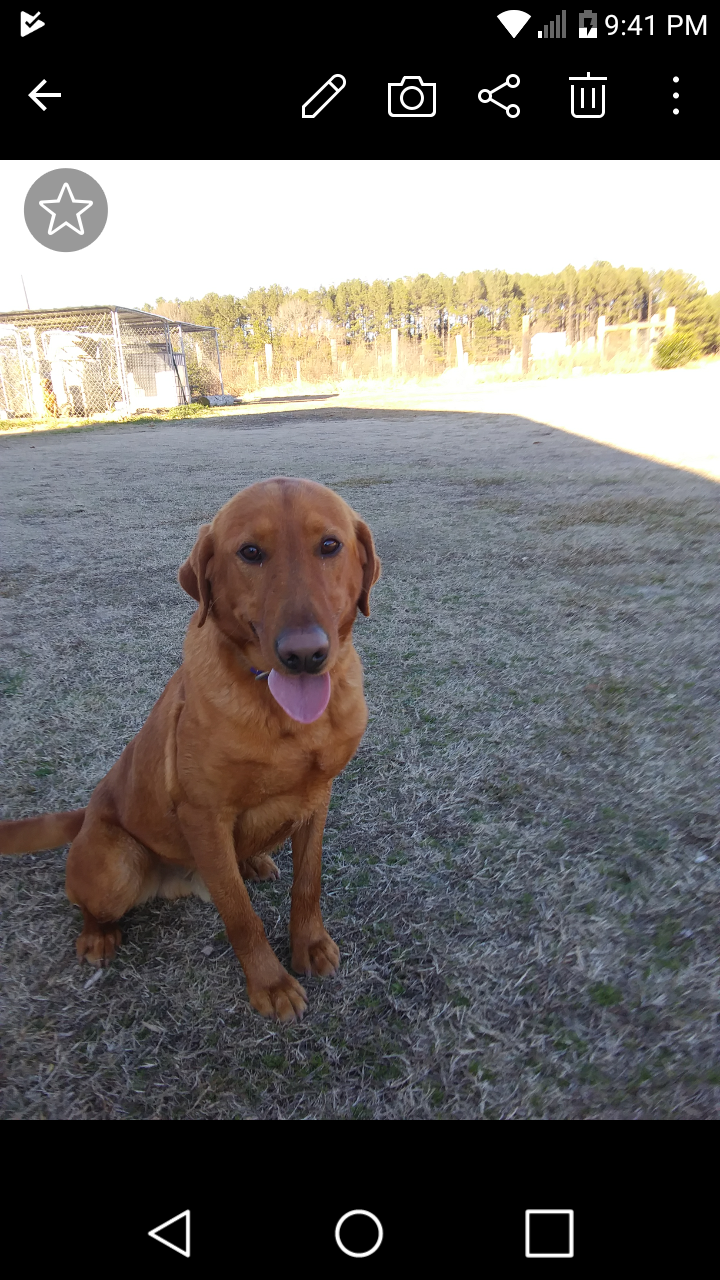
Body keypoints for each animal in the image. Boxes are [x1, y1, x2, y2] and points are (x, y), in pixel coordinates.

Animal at [0, 476, 381, 1024]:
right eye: (250, 552)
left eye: (329, 545)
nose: (305, 655)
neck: (282, 714)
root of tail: (88, 812)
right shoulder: (204, 816)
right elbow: (240, 915)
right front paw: (269, 983)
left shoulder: (318, 796)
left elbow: (308, 884)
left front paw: (308, 945)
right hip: (116, 866)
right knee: (92, 904)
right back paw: (98, 935)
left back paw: (254, 862)